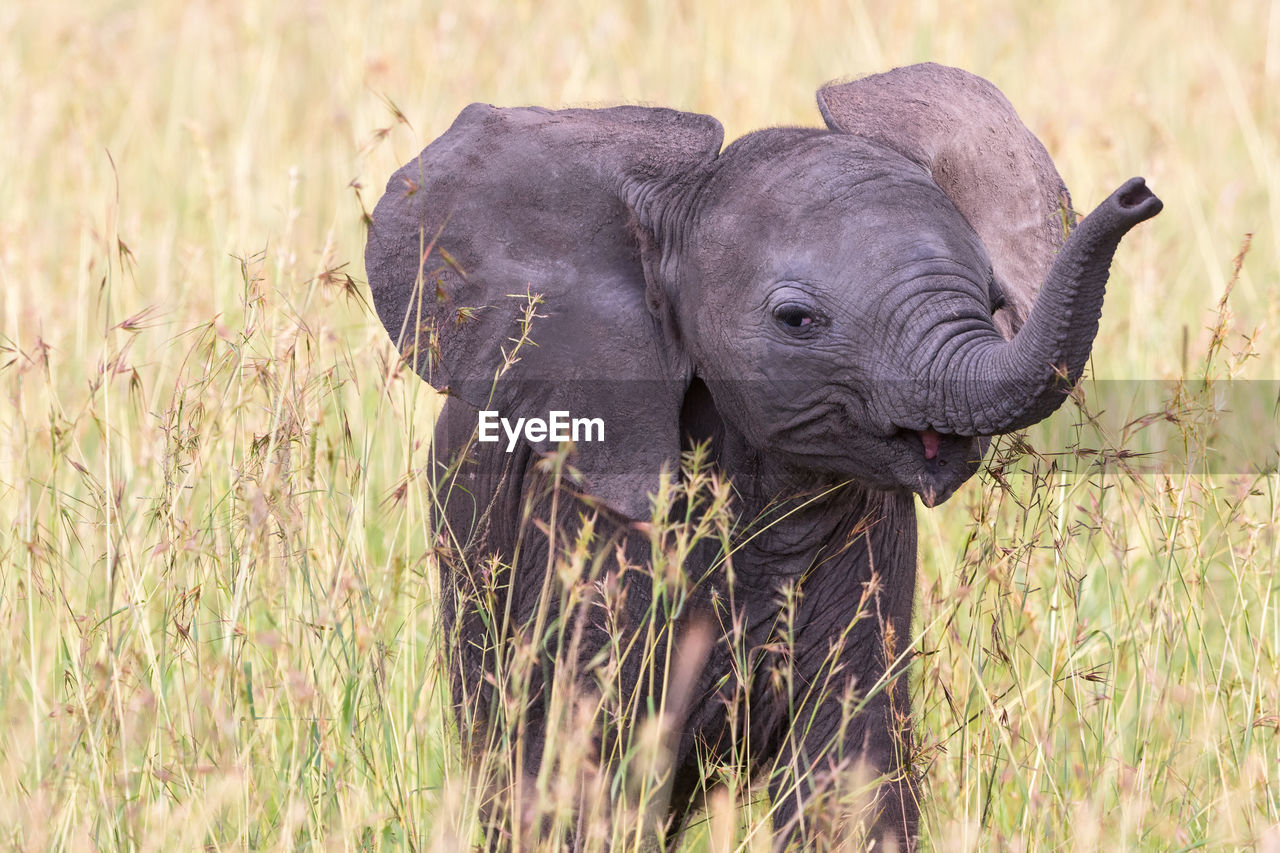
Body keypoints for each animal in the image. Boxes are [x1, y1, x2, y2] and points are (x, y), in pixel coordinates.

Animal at [364, 63, 1162, 849]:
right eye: (796, 321)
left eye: (994, 297)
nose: (1139, 194)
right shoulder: (581, 522)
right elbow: (586, 767)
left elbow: (848, 774)